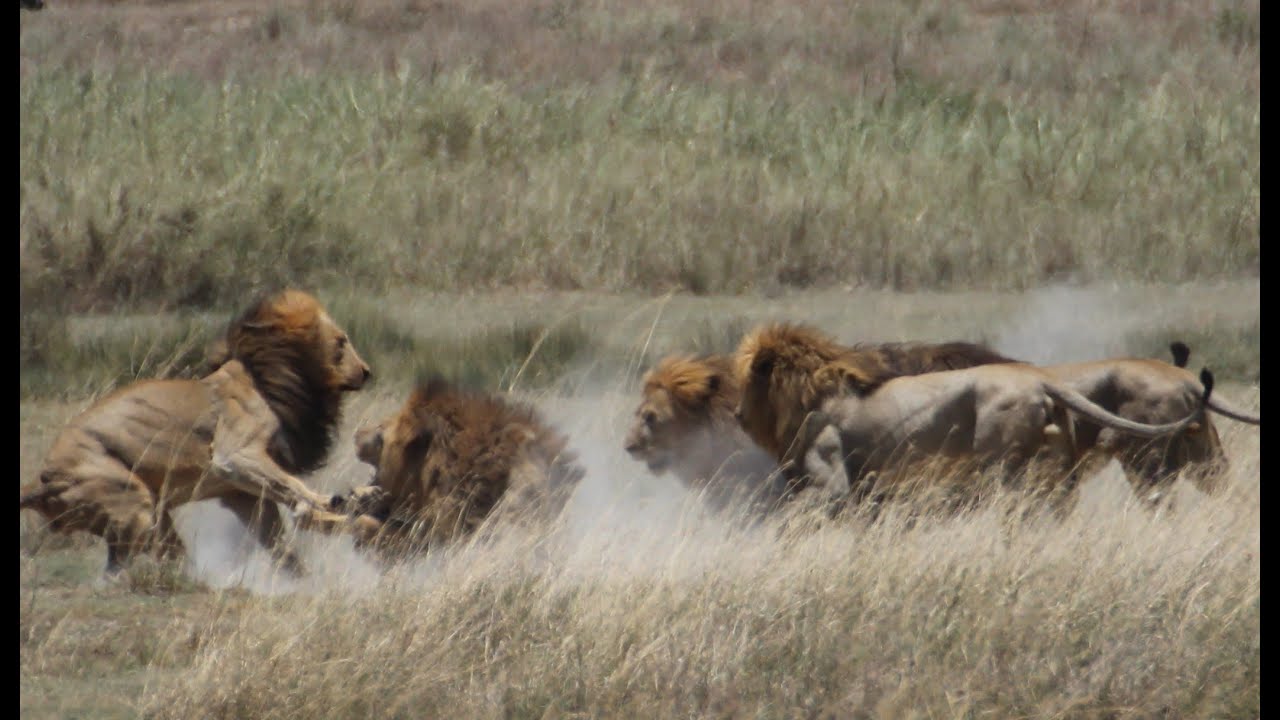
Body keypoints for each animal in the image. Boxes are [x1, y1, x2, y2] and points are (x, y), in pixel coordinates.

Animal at [19, 289, 372, 576]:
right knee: (118, 572)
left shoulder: (242, 493)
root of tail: (40, 479)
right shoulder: (235, 457)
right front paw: (334, 503)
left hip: (153, 513)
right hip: (133, 504)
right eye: (341, 343)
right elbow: (293, 485)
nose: (367, 372)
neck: (266, 378)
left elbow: (280, 542)